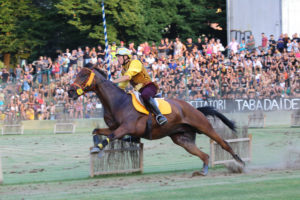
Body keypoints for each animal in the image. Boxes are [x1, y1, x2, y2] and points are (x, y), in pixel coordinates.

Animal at [67, 67, 244, 175]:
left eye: (83, 75)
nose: (69, 91)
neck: (117, 102)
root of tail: (193, 108)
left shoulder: (126, 128)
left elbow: (109, 137)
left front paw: (97, 149)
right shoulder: (113, 128)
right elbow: (96, 132)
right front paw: (97, 148)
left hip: (204, 126)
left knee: (224, 143)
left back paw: (240, 162)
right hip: (182, 139)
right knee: (204, 155)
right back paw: (203, 171)